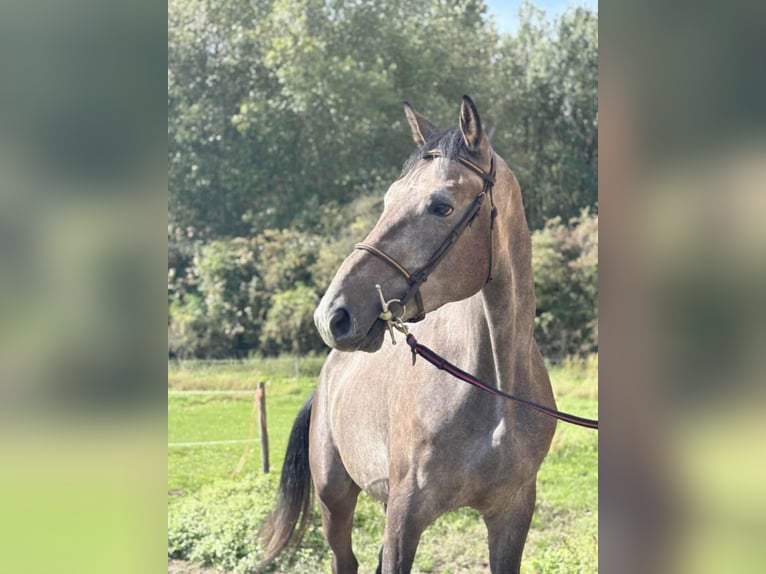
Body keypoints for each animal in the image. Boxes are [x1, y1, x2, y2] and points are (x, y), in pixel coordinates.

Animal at [259, 96, 557, 574]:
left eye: (441, 206)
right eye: (388, 200)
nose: (332, 315)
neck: (495, 394)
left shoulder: (512, 514)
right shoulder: (405, 516)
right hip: (334, 502)